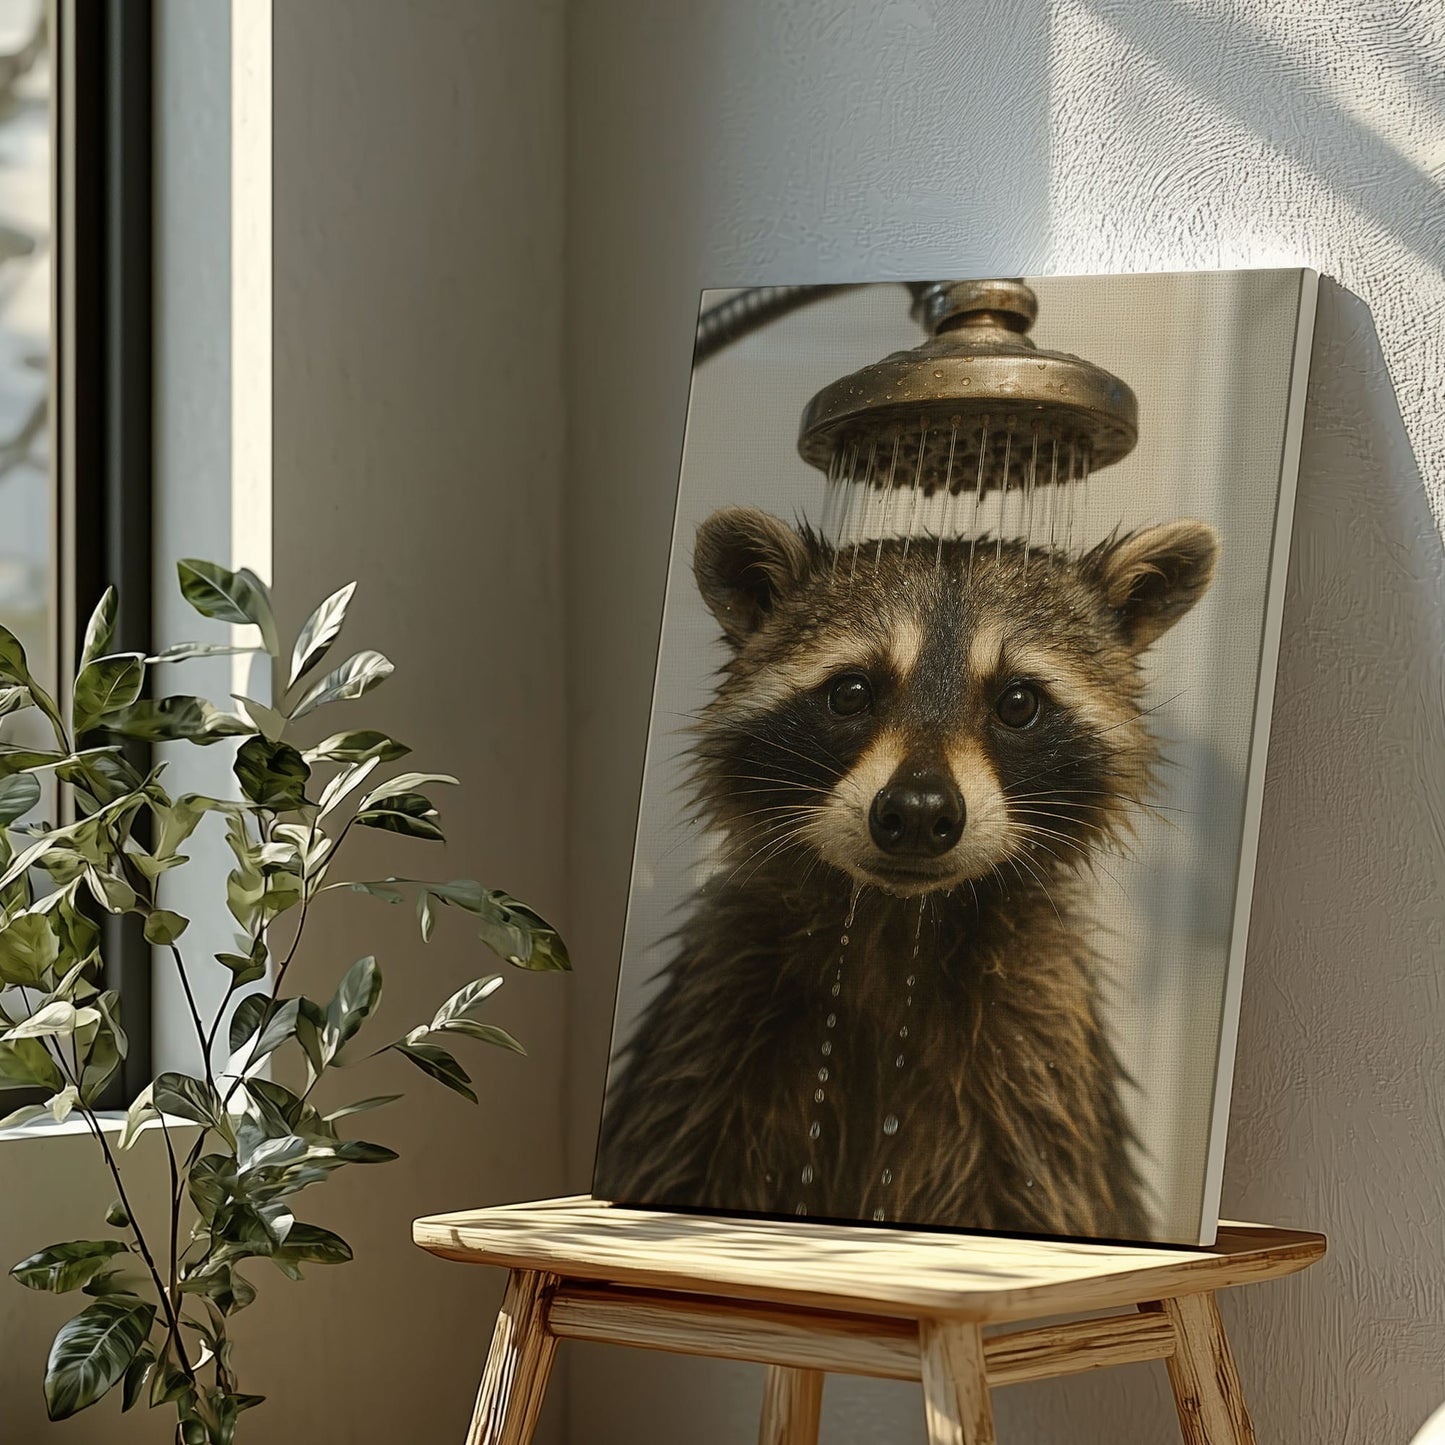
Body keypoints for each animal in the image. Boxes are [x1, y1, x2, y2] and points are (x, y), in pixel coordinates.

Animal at [596, 505, 1219, 1239]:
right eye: (850, 692)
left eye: (1017, 702)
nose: (918, 812)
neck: (896, 923)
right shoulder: (709, 1038)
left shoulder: (1039, 1068)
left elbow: (1050, 1187)